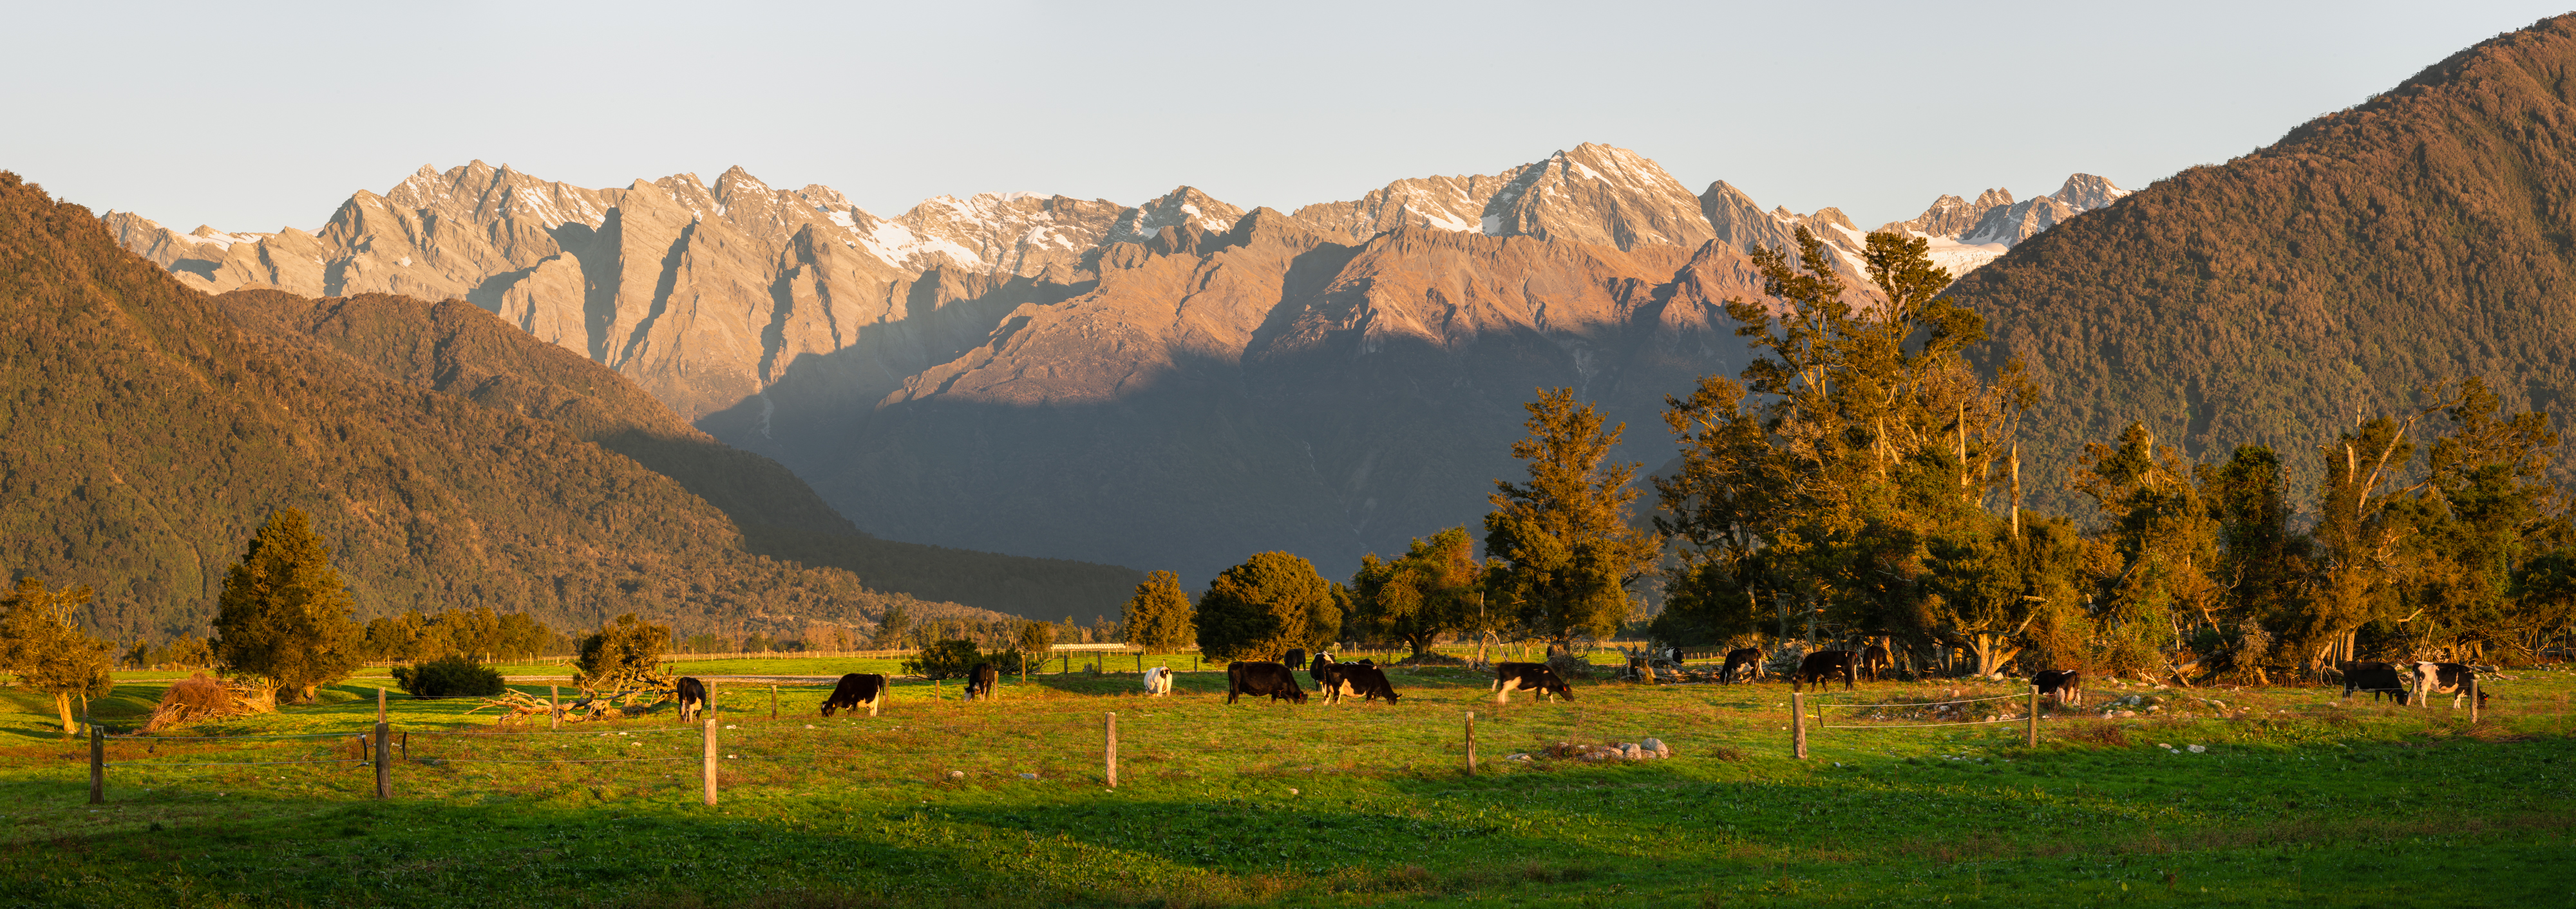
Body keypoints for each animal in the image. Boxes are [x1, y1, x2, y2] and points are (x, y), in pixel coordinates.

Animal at [1226, 664, 1309, 706]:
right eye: (1303, 700)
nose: (1305, 704)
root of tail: (1232, 664)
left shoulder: (1275, 693)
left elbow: (1273, 701)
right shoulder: (1278, 691)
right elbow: (1288, 699)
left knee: (1231, 694)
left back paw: (1229, 704)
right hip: (1236, 685)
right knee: (1236, 695)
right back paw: (1236, 705)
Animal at [1319, 664, 1401, 706]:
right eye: (1396, 700)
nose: (1393, 705)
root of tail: (1329, 665)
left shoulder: (1374, 693)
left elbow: (1374, 701)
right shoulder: (1371, 690)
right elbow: (1368, 700)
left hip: (1327, 687)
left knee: (1326, 697)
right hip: (1338, 687)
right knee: (1336, 699)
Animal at [2401, 659, 2483, 711]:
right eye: (2484, 699)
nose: (2483, 708)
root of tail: (2418, 663)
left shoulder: (2457, 690)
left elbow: (2458, 699)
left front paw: (2459, 708)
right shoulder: (2460, 688)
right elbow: (2457, 699)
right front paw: (2454, 708)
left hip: (2416, 684)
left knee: (2411, 693)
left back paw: (2408, 706)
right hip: (2424, 685)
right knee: (2422, 696)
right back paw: (2425, 707)